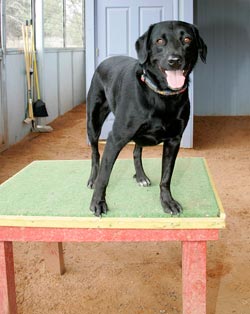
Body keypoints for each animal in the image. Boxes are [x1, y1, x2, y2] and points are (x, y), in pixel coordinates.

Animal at [87, 20, 206, 217]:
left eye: (187, 39)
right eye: (159, 41)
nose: (174, 60)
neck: (162, 95)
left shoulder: (174, 140)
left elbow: (166, 177)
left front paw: (167, 202)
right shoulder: (115, 138)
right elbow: (105, 175)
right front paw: (98, 202)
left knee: (137, 151)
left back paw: (141, 176)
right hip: (93, 122)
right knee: (95, 153)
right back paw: (92, 179)